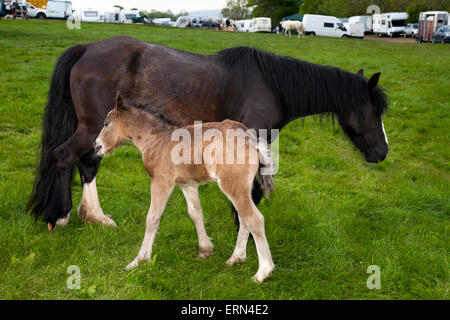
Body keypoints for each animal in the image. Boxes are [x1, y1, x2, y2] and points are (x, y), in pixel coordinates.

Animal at [28, 36, 388, 229]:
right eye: (376, 112)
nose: (383, 153)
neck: (272, 86)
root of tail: (87, 48)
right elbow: (251, 191)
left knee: (87, 164)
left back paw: (96, 217)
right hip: (92, 129)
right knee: (64, 158)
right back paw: (60, 216)